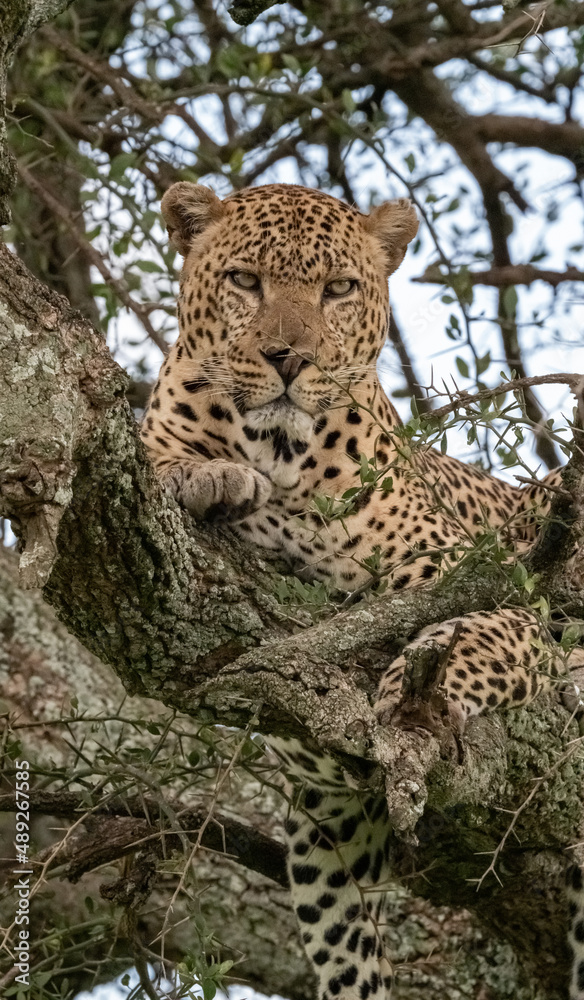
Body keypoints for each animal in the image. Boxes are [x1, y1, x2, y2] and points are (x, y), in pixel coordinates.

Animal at [140, 181, 584, 1000]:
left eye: (338, 289)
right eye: (245, 281)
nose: (289, 358)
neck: (280, 455)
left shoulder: (473, 574)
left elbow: (482, 630)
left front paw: (415, 696)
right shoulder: (328, 817)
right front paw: (207, 478)